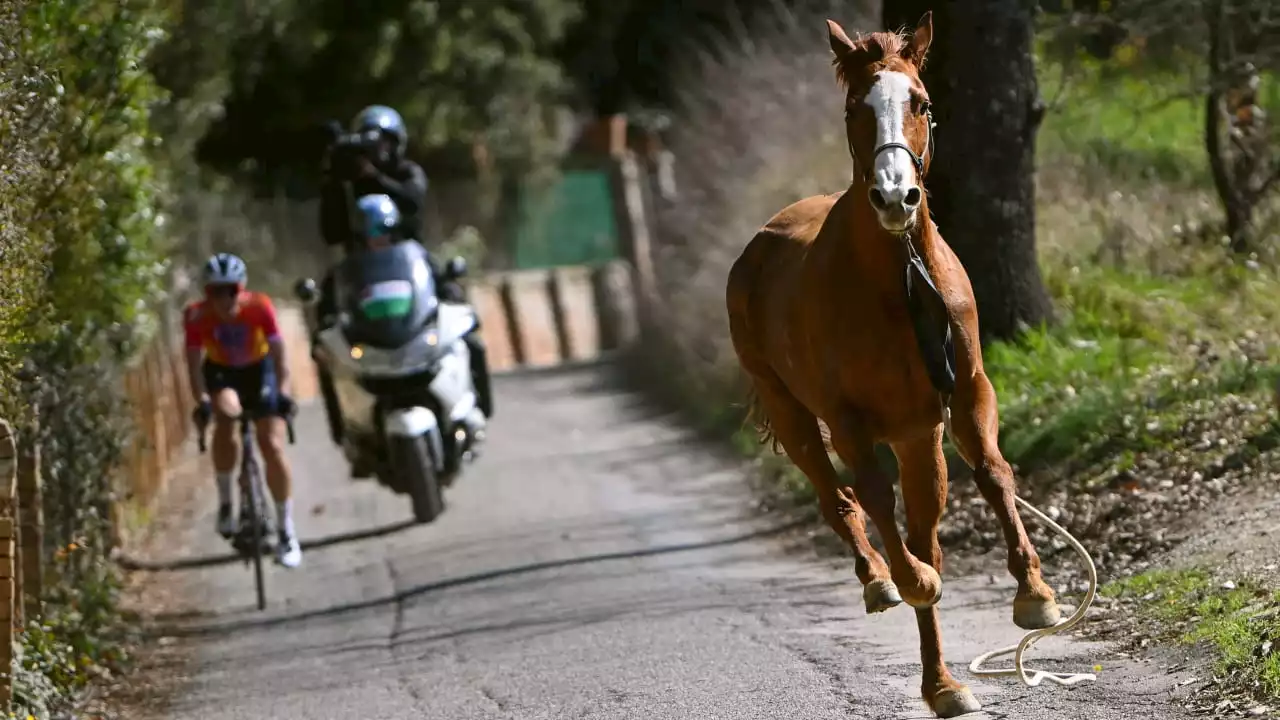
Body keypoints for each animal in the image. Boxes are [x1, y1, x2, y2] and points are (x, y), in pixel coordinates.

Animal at [727, 12, 1064, 717]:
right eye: (855, 107)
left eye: (922, 103)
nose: (895, 197)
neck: (900, 281)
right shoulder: (850, 422)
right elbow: (880, 506)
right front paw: (911, 580)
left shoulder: (962, 396)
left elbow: (993, 475)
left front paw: (1035, 596)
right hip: (793, 415)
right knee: (840, 501)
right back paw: (882, 583)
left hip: (917, 439)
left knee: (921, 523)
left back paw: (944, 685)